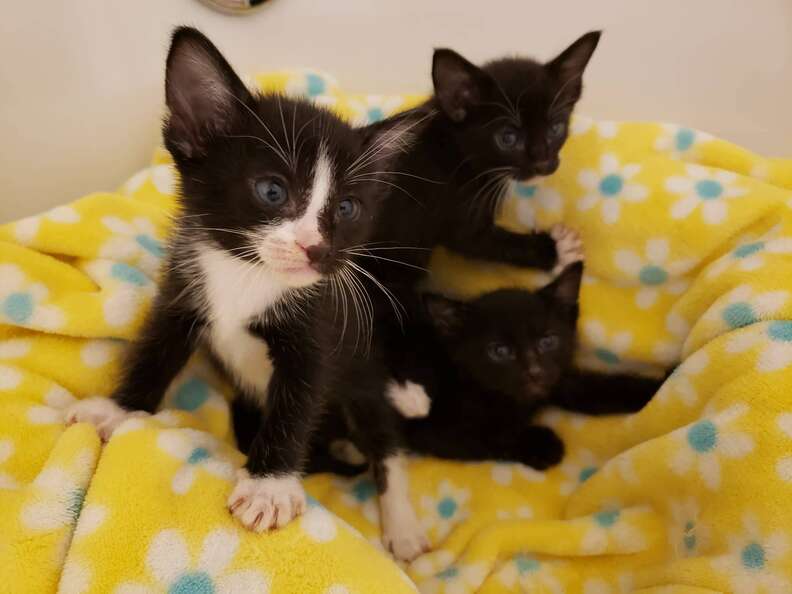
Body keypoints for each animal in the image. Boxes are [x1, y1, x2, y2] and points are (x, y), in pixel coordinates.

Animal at [63, 26, 414, 532]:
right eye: (272, 191)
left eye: (348, 208)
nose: (318, 250)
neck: (248, 273)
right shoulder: (184, 290)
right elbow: (155, 350)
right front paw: (117, 409)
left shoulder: (321, 331)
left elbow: (298, 402)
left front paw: (270, 487)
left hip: (360, 367)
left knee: (384, 439)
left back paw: (403, 526)